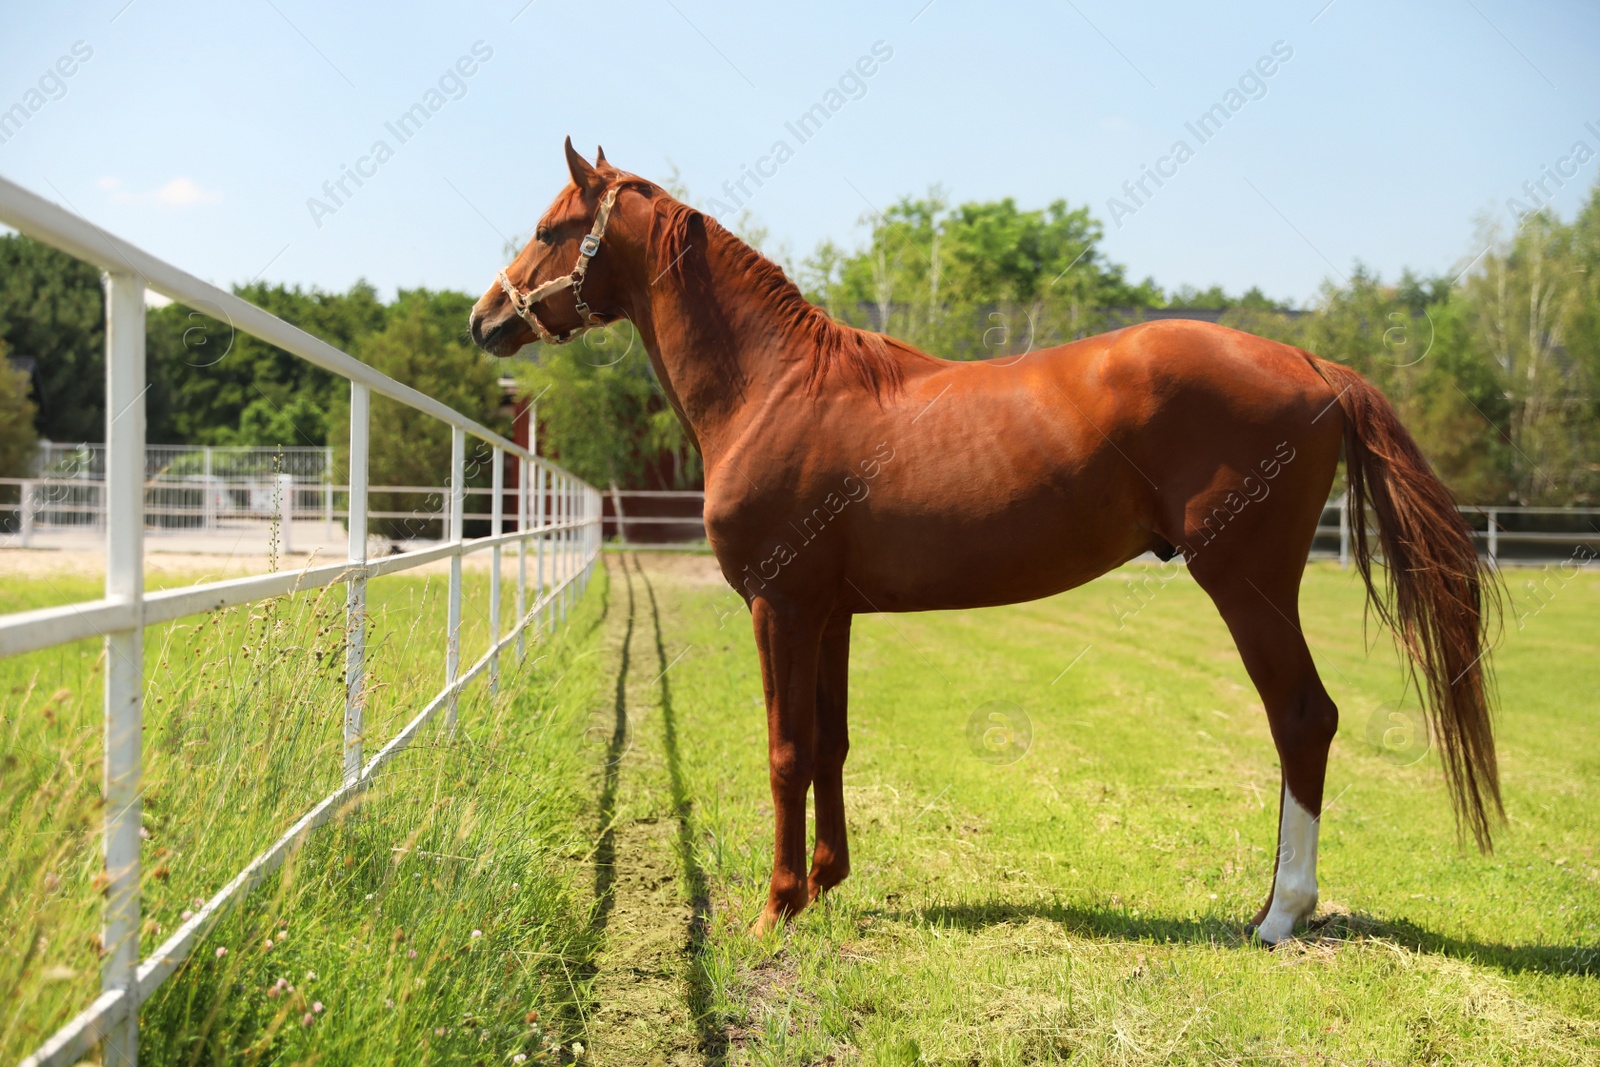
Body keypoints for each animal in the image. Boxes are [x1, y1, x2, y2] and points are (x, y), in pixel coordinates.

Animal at [470, 139, 1497, 940]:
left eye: (554, 226)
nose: (484, 318)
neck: (776, 385)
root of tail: (1313, 363)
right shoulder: (830, 613)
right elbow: (832, 741)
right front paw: (826, 884)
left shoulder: (780, 604)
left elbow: (785, 750)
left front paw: (774, 907)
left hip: (1247, 584)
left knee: (1302, 717)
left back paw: (1279, 913)